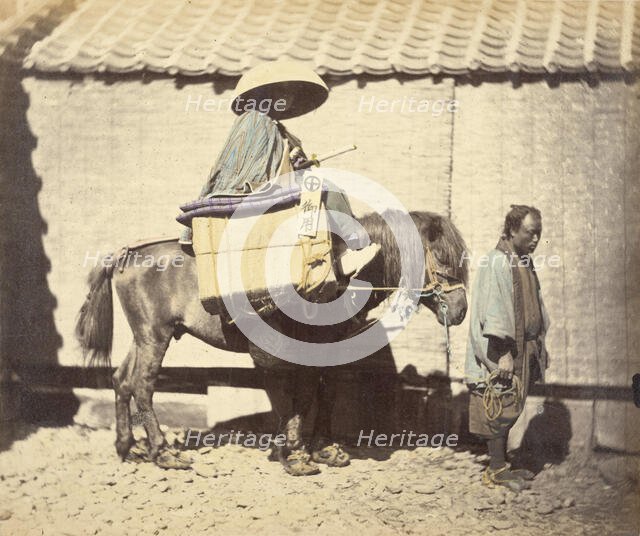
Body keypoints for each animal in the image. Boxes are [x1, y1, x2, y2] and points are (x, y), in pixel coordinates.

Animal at [75, 209, 468, 474]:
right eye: (443, 256)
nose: (461, 309)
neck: (342, 270)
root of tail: (126, 255)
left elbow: (320, 396)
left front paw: (321, 449)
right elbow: (297, 397)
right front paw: (293, 452)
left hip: (145, 336)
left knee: (122, 380)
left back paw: (126, 446)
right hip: (155, 337)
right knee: (142, 385)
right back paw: (163, 452)